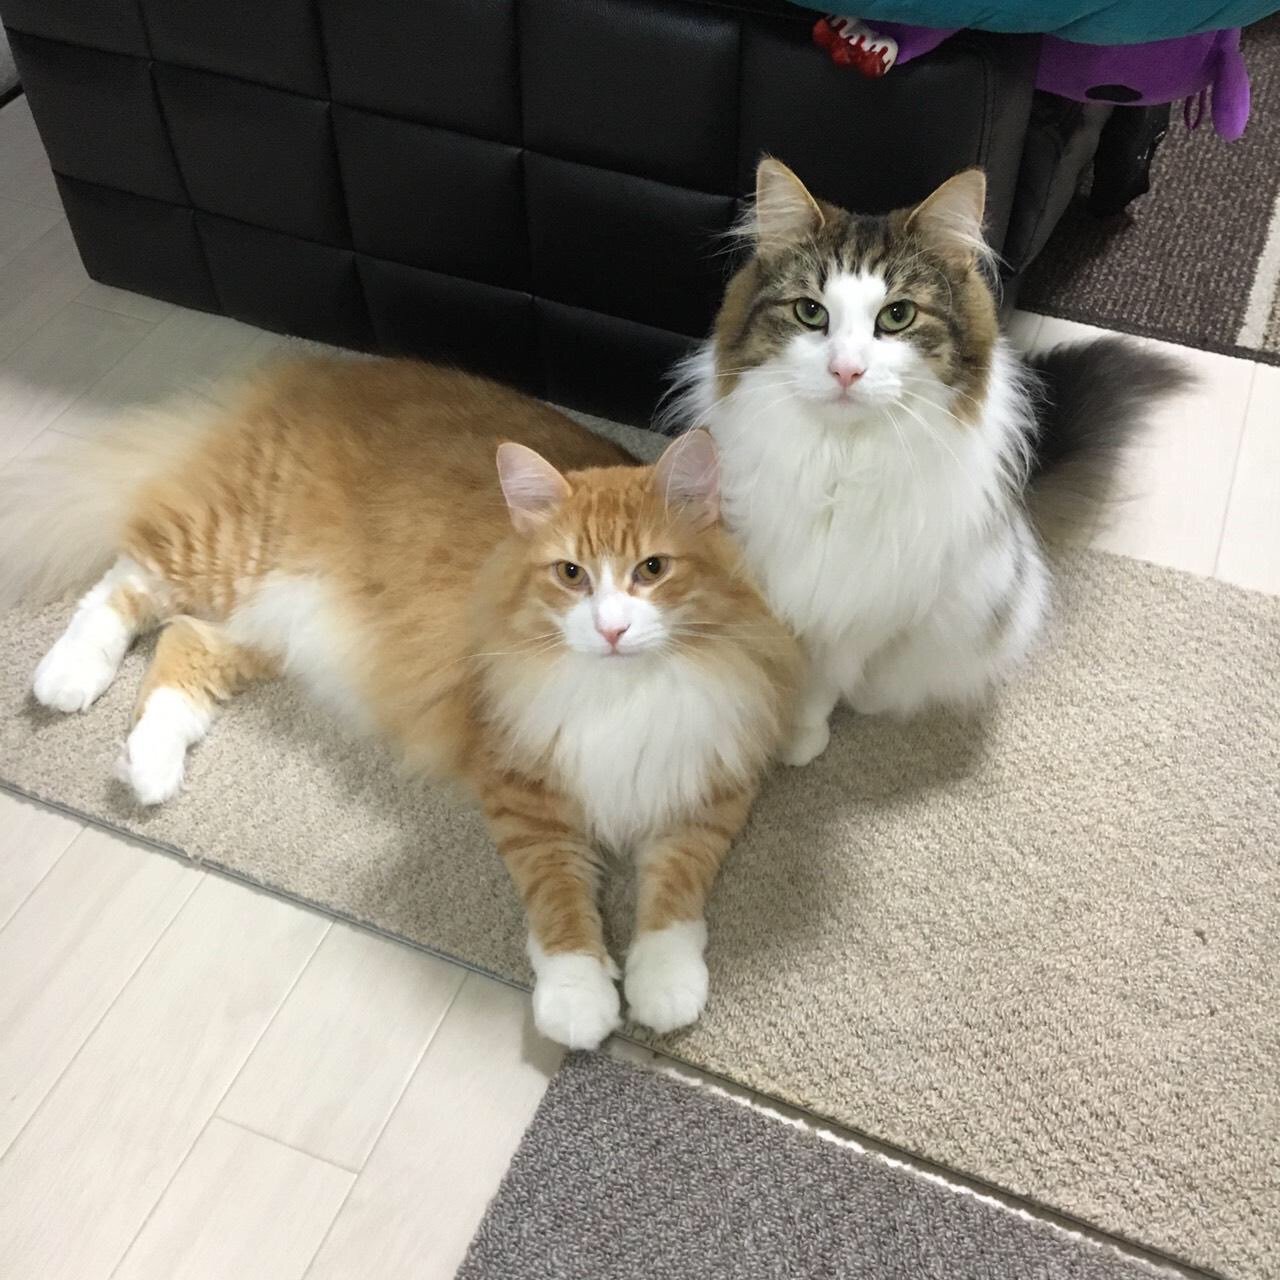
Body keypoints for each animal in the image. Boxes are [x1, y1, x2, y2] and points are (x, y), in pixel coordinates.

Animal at [0, 357, 799, 1049]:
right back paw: (65, 678)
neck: (621, 688)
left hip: (273, 625)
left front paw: (663, 987)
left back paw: (150, 766)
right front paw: (579, 1001)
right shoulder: (521, 790)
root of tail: (314, 369)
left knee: (180, 644)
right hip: (225, 548)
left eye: (652, 570)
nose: (610, 629)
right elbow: (562, 903)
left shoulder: (710, 784)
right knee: (124, 583)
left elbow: (674, 898)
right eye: (571, 574)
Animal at [667, 158, 1190, 765]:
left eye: (897, 316)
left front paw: (799, 739)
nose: (846, 371)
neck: (840, 463)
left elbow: (822, 680)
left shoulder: (870, 603)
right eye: (809, 312)